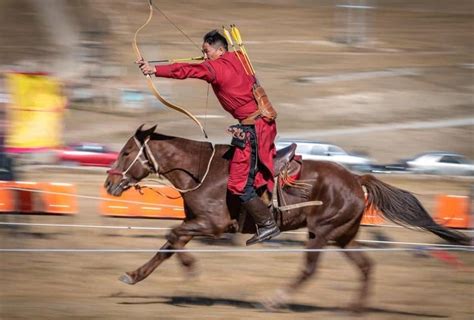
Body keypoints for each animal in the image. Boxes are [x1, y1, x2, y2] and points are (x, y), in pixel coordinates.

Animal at [104, 124, 470, 310]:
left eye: (126, 151)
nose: (109, 183)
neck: (200, 170)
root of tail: (357, 179)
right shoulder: (198, 223)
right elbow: (167, 245)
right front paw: (133, 276)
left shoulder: (213, 224)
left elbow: (171, 237)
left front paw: (191, 270)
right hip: (343, 236)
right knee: (366, 267)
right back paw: (355, 309)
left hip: (321, 233)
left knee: (309, 269)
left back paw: (276, 299)